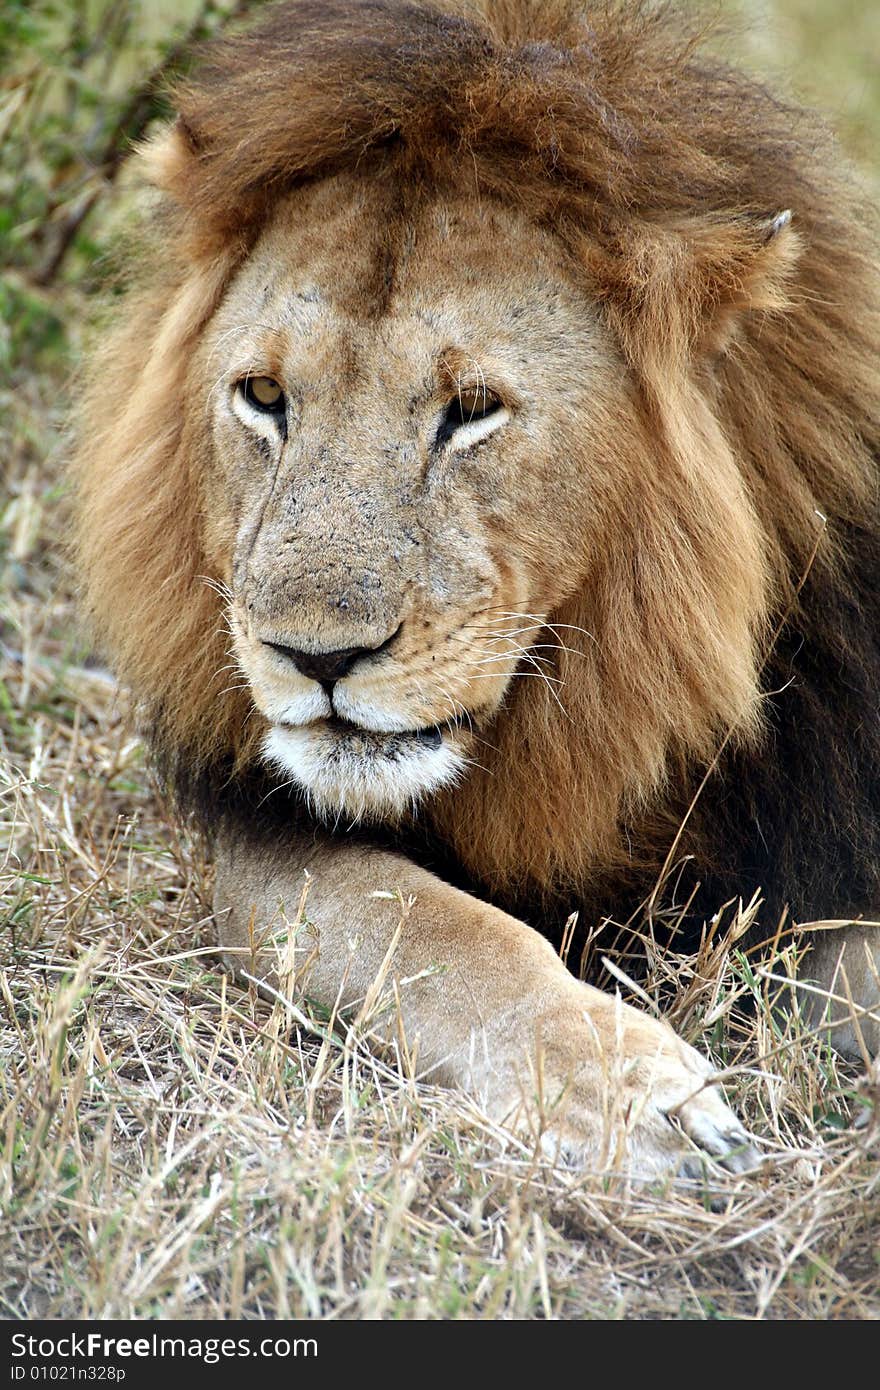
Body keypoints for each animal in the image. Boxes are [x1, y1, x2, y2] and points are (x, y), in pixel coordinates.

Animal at [71, 0, 873, 1178]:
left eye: (473, 408)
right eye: (263, 395)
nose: (315, 656)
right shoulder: (261, 836)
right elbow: (441, 933)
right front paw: (637, 1095)